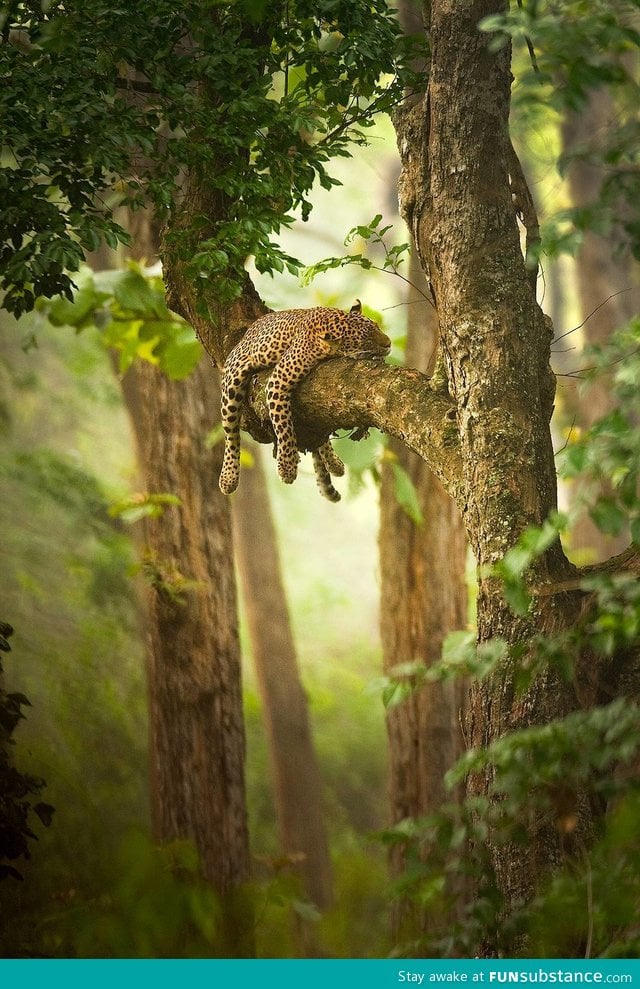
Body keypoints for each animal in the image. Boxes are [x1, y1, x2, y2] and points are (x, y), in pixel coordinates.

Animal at [220, 300, 390, 502]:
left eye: (378, 327)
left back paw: (334, 463)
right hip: (232, 381)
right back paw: (228, 479)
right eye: (367, 340)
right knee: (231, 433)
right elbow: (284, 426)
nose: (389, 343)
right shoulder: (278, 380)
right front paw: (287, 467)